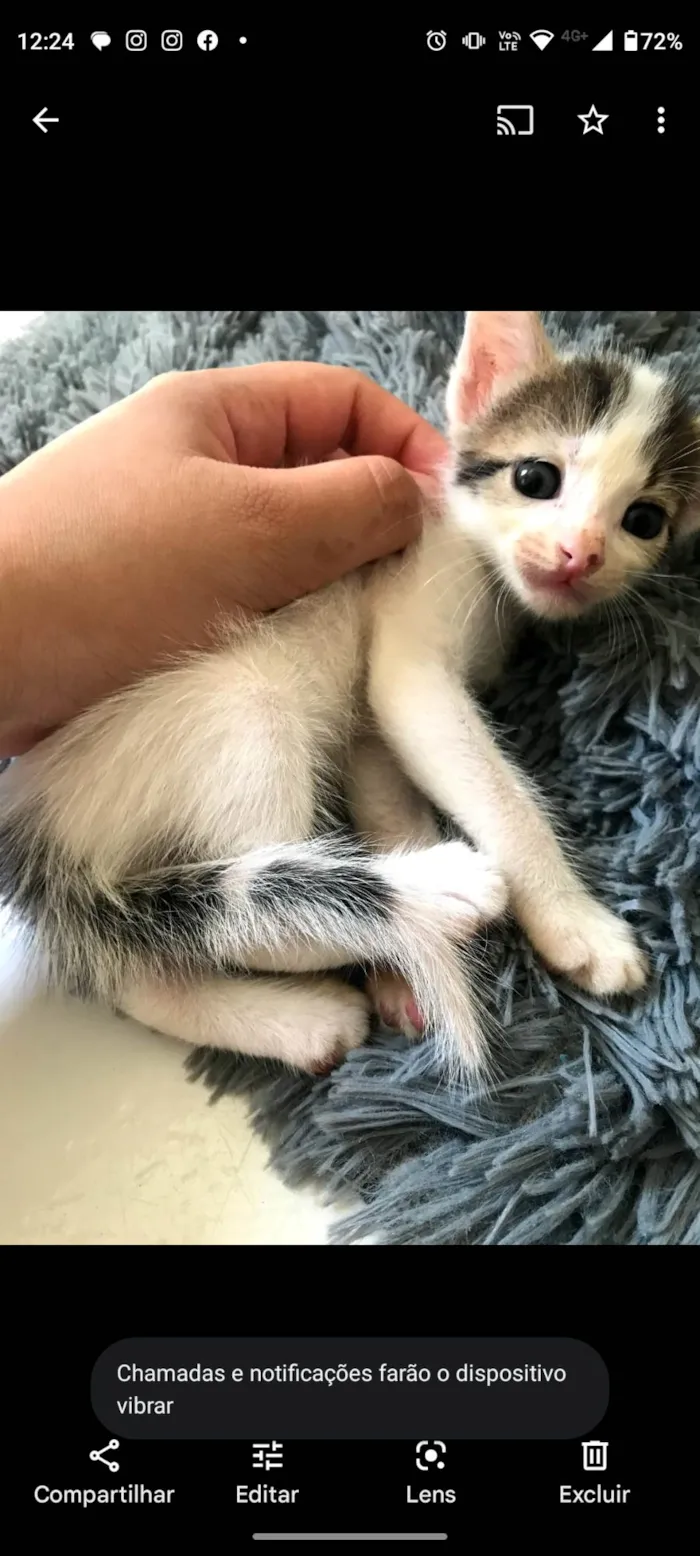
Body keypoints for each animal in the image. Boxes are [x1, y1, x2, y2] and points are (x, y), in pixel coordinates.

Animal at [1, 309, 700, 1076]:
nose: (582, 554)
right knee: (232, 904)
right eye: (536, 477)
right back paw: (432, 900)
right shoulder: (412, 638)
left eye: (644, 520)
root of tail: (34, 830)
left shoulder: (368, 722)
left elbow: (383, 783)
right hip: (245, 720)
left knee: (138, 967)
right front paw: (575, 924)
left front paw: (404, 969)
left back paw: (298, 1018)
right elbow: (497, 794)